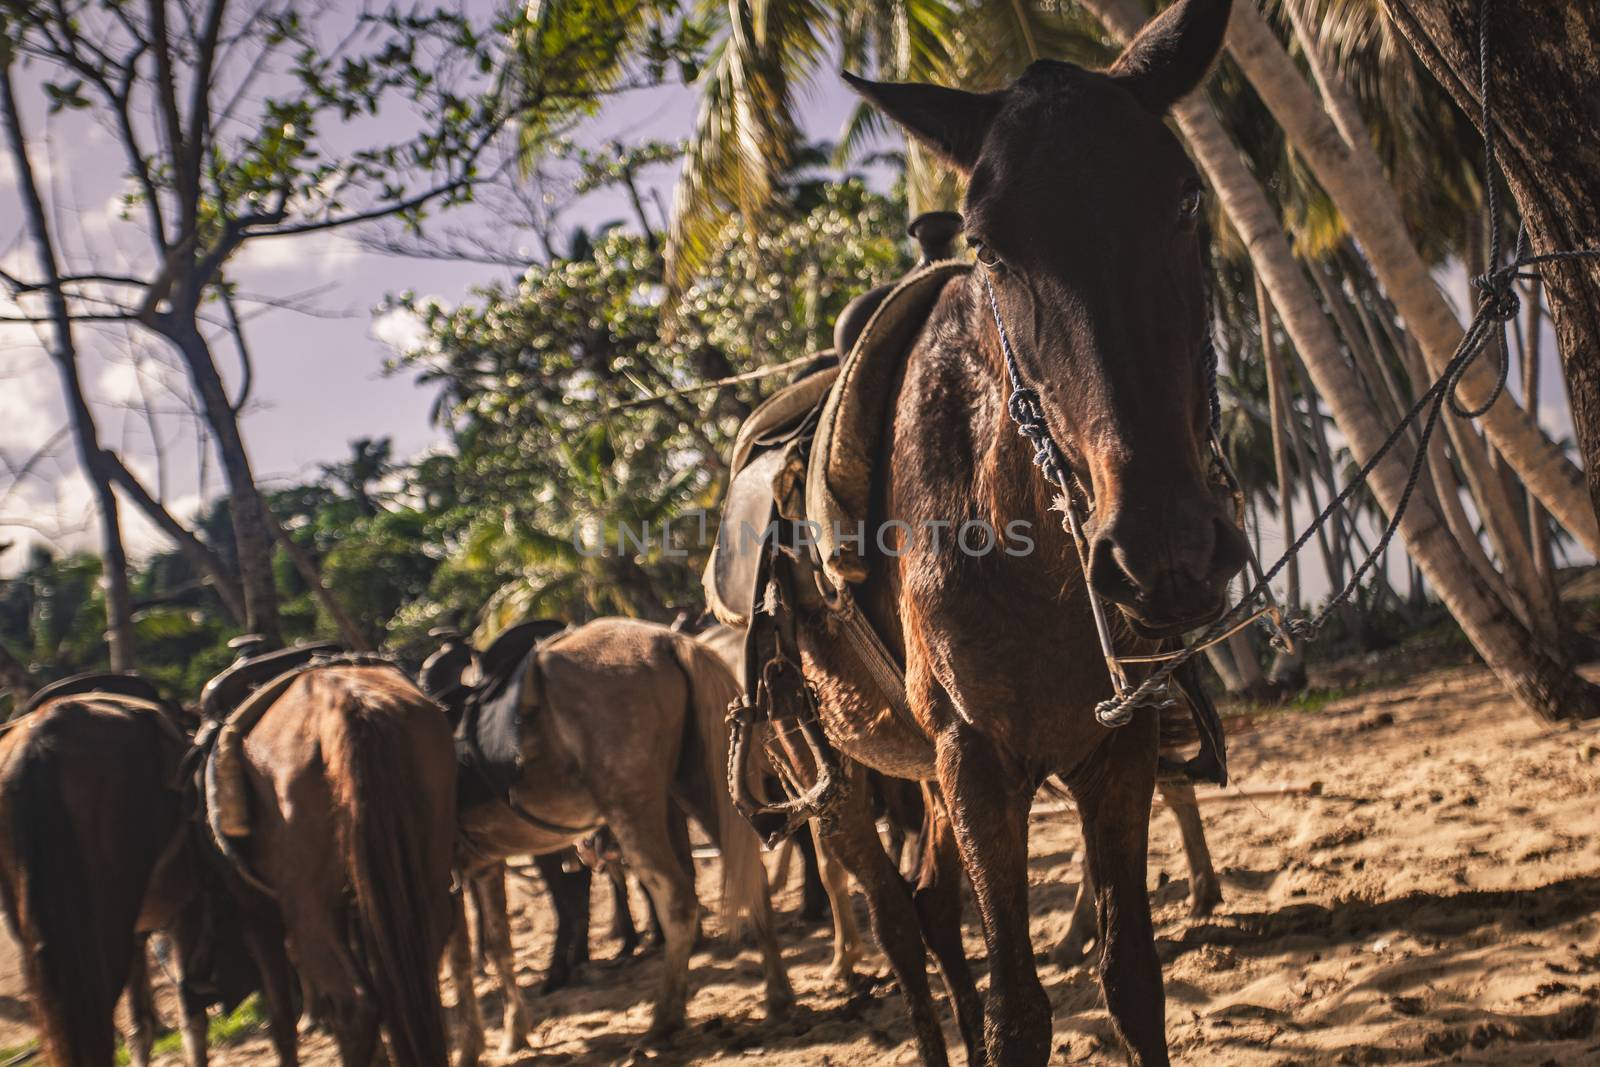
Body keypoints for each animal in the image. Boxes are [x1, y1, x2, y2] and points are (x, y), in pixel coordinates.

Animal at [220, 662, 457, 1062]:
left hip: (307, 905)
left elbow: (281, 1018)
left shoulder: (256, 914)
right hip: (424, 872)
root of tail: (343, 703)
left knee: (355, 1005)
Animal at [435, 617, 790, 1062]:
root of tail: (667, 641)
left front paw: (469, 1048)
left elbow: (458, 964)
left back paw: (662, 1024)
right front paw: (514, 1032)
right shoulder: (482, 866)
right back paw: (777, 997)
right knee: (752, 877)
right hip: (700, 787)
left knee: (677, 899)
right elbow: (499, 946)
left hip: (631, 809)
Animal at [780, 4, 1241, 1062]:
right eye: (987, 249)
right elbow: (1019, 1011)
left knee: (934, 907)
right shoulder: (977, 765)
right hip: (845, 785)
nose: (1163, 554)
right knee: (901, 926)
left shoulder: (1117, 751)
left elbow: (1130, 978)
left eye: (1187, 199)